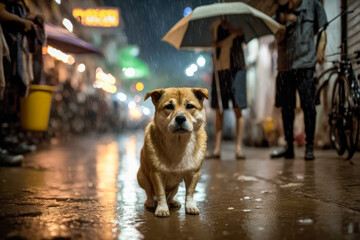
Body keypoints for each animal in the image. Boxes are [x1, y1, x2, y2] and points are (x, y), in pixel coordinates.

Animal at [137, 87, 208, 218]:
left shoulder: (194, 173)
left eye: (189, 106)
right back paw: (150, 202)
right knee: (149, 191)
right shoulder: (157, 174)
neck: (178, 142)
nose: (180, 118)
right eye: (169, 106)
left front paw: (190, 206)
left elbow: (190, 192)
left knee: (170, 196)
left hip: (175, 186)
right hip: (141, 177)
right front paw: (162, 209)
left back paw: (173, 202)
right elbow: (160, 193)